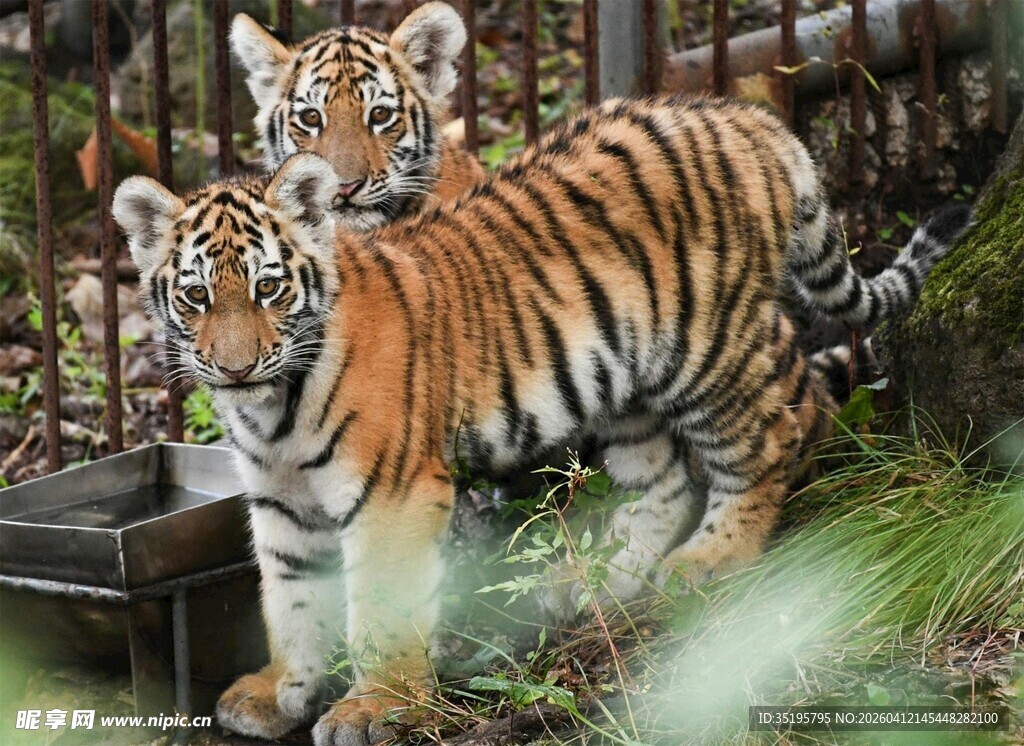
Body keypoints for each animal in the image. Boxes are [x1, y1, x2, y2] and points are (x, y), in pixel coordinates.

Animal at [113, 96, 969, 744]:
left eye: (268, 288)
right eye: (196, 295)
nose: (232, 366)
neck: (271, 407)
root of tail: (743, 116)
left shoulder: (391, 492)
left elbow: (379, 609)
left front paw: (377, 708)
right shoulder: (281, 499)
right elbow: (290, 600)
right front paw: (282, 691)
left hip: (709, 346)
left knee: (766, 437)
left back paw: (710, 561)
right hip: (625, 383)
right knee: (664, 481)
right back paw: (596, 581)